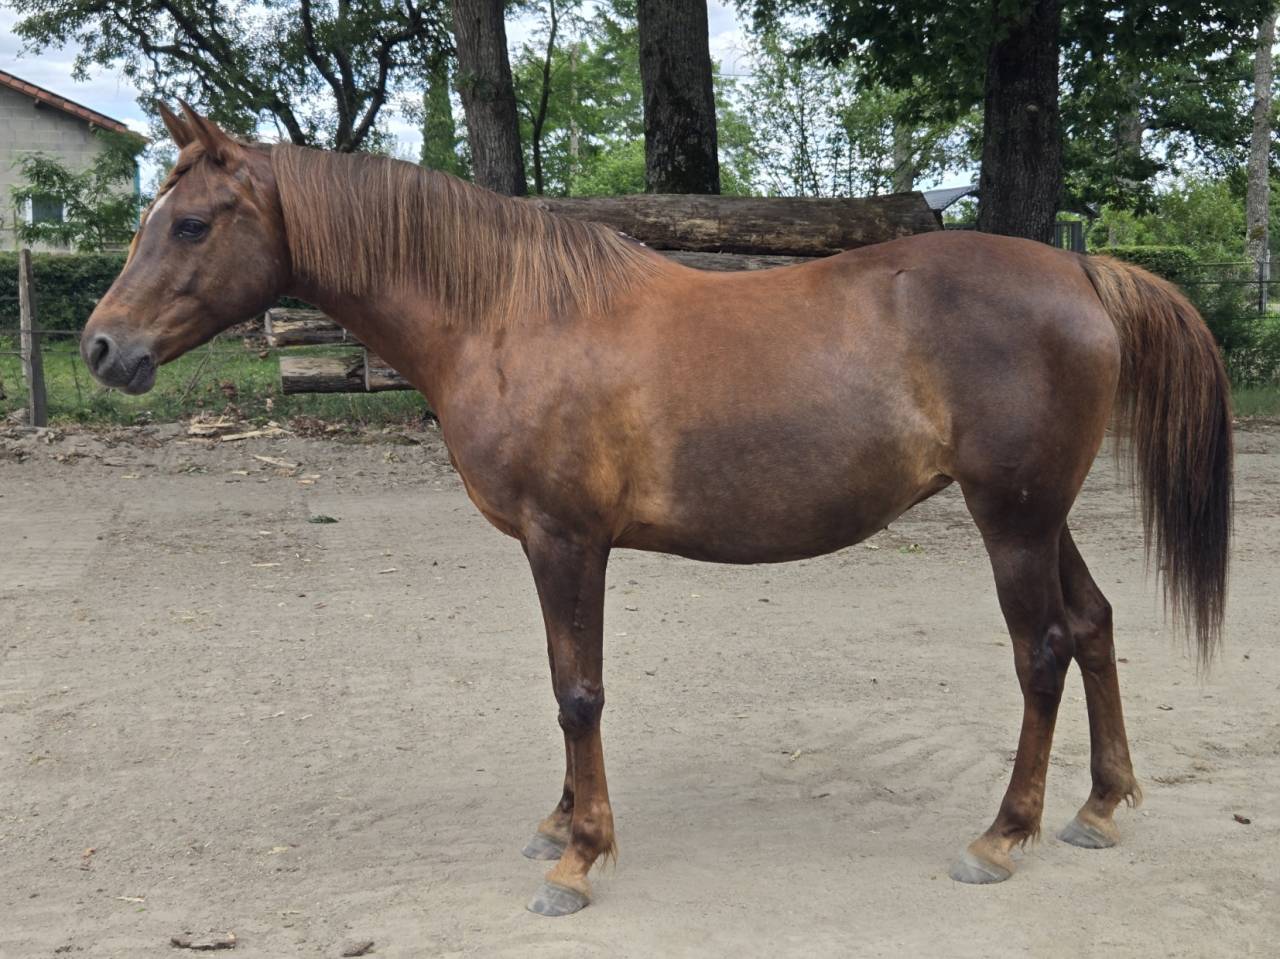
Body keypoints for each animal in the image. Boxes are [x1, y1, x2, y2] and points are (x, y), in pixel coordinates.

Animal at [82, 104, 1232, 916]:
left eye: (191, 223)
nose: (101, 347)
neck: (510, 313)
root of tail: (1080, 269)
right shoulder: (553, 548)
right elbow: (563, 684)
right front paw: (559, 825)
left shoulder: (565, 541)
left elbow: (577, 692)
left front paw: (580, 858)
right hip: (1040, 517)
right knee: (1093, 625)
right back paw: (1098, 807)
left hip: (1012, 522)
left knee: (1042, 650)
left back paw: (1002, 834)